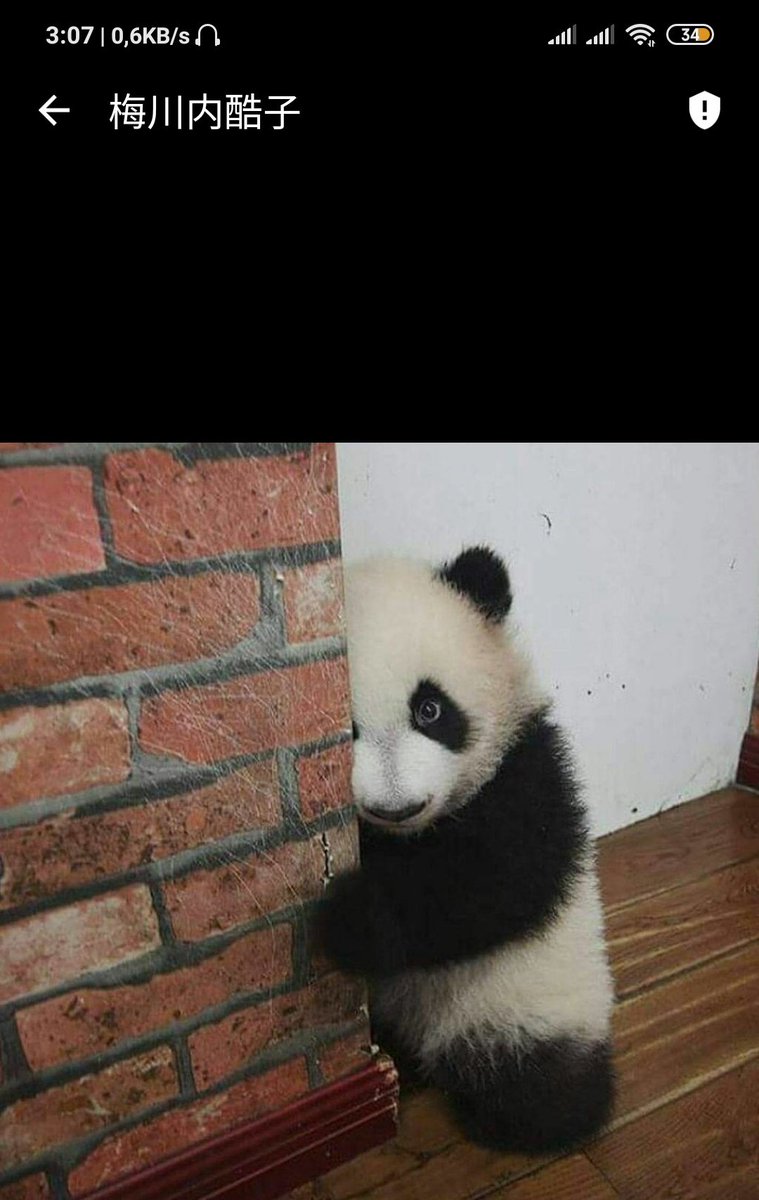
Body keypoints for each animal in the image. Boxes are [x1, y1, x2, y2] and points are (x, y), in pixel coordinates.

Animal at [320, 546, 615, 1153]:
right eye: (347, 727)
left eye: (430, 710)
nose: (395, 804)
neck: (410, 836)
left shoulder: (526, 769)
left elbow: (495, 886)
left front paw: (353, 918)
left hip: (525, 997)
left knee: (540, 1085)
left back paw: (532, 1109)